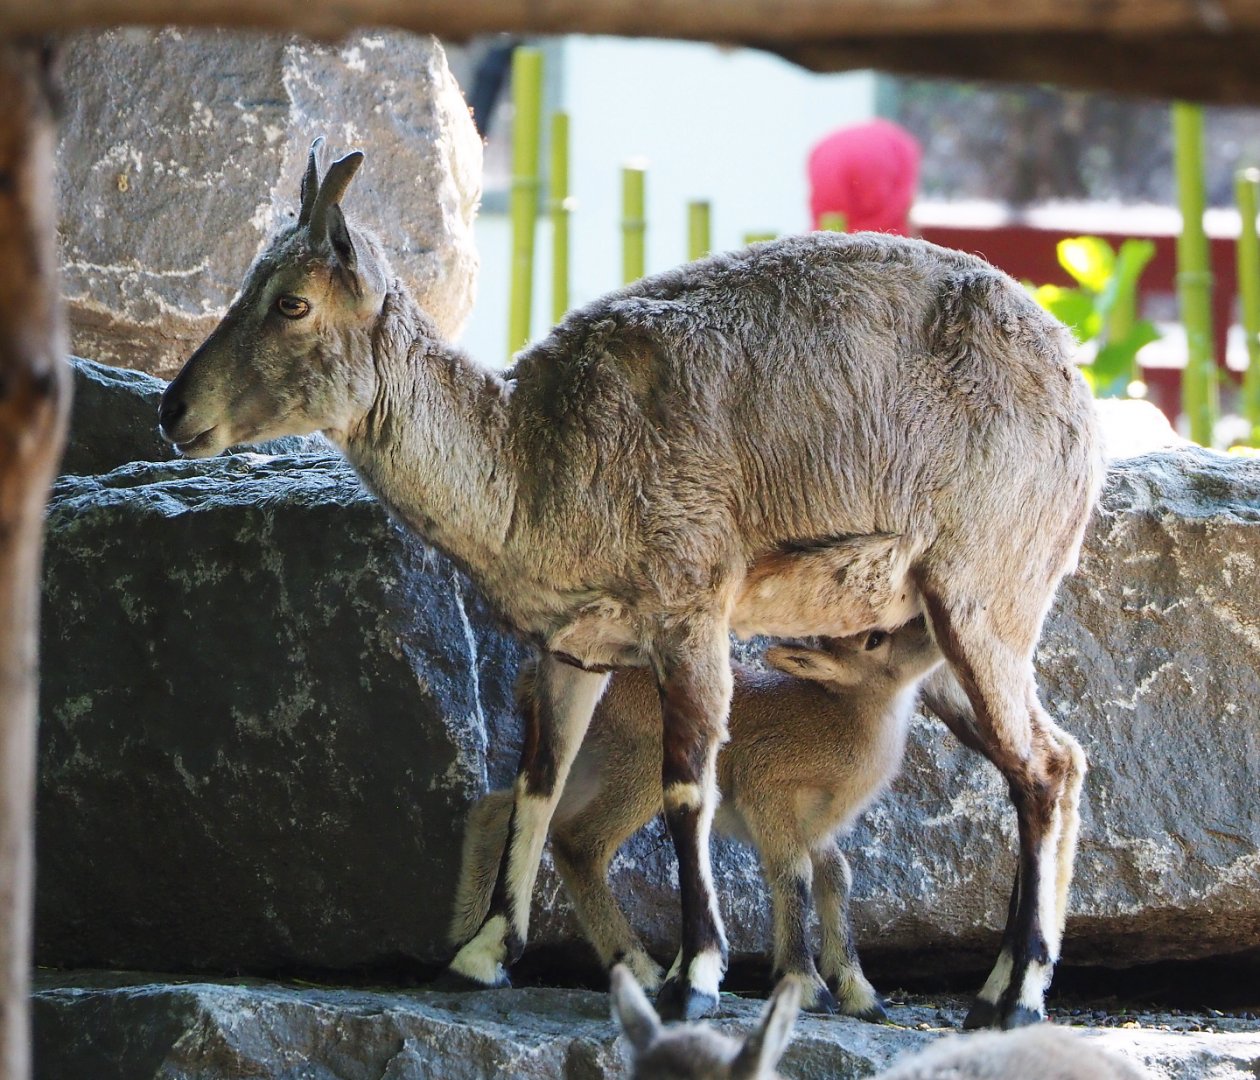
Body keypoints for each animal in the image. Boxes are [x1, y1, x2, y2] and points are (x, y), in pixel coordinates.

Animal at [451, 619, 942, 1018]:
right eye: (874, 638)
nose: (930, 627)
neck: (841, 723)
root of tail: (529, 680)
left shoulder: (818, 830)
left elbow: (837, 877)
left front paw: (861, 995)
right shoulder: (769, 791)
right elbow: (794, 874)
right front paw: (807, 986)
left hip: (592, 763)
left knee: (506, 808)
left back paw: (466, 942)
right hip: (641, 768)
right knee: (578, 840)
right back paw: (641, 969)